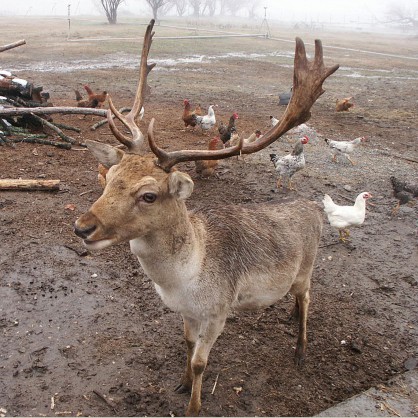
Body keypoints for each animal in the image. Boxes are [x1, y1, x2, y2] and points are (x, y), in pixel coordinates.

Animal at [72, 20, 340, 418]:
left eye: (148, 195)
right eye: (110, 178)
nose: (82, 227)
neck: (185, 281)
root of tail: (313, 208)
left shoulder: (218, 310)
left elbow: (201, 361)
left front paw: (194, 404)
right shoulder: (187, 312)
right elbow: (185, 344)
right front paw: (182, 383)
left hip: (307, 267)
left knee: (308, 298)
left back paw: (301, 351)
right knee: (297, 299)